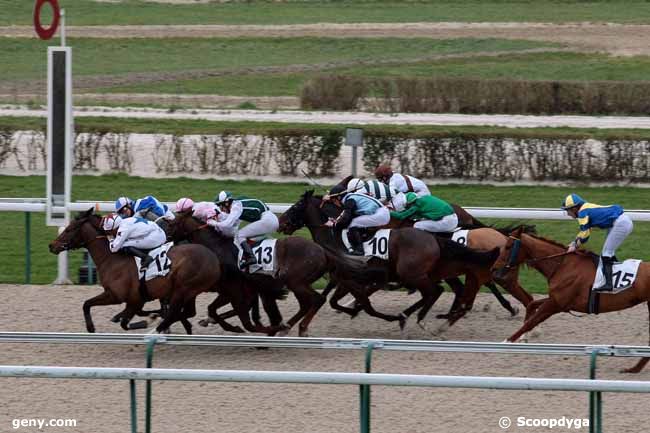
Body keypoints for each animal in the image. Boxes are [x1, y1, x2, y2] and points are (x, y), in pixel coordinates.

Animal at [47, 209, 220, 334]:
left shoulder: (117, 296)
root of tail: (213, 258)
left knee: (177, 312)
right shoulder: (132, 299)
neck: (111, 259)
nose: (51, 245)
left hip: (183, 289)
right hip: (189, 292)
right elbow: (87, 304)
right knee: (185, 312)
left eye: (69, 229)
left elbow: (123, 321)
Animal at [492, 228, 648, 372]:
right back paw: (634, 368)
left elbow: (531, 322)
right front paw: (525, 337)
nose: (493, 269)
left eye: (508, 246)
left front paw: (506, 342)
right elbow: (531, 305)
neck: (562, 265)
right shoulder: (557, 300)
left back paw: (635, 368)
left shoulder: (555, 304)